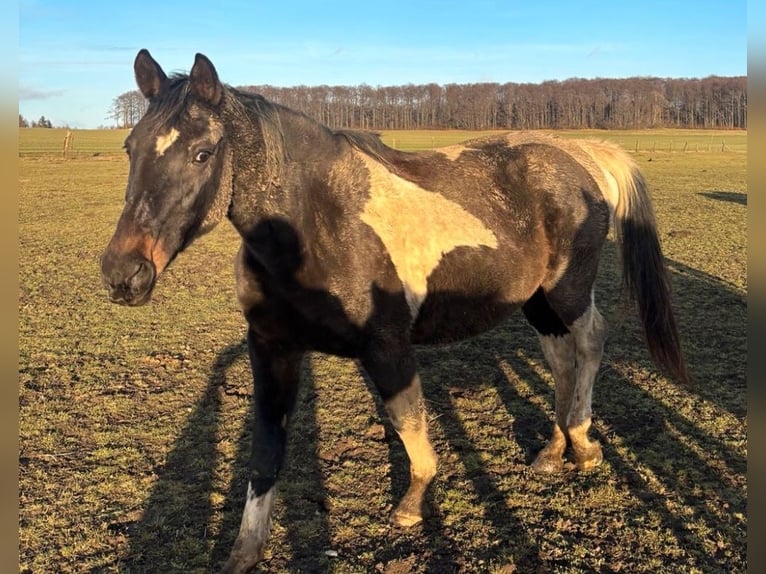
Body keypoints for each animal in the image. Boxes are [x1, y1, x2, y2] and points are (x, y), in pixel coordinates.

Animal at [100, 49, 688, 573]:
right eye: (130, 147)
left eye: (202, 153)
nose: (122, 274)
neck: (316, 225)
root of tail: (580, 154)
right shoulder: (271, 350)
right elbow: (265, 454)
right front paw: (243, 555)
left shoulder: (387, 347)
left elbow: (411, 430)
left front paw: (410, 506)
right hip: (537, 300)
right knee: (561, 358)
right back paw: (553, 449)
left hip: (566, 291)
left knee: (590, 341)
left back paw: (583, 444)